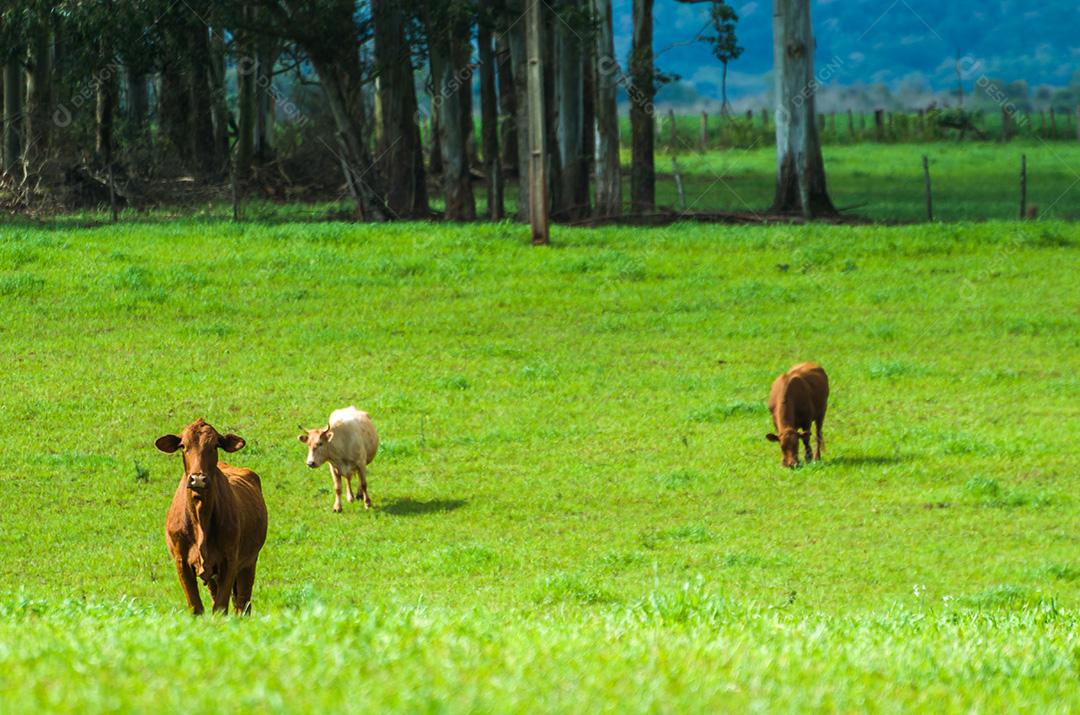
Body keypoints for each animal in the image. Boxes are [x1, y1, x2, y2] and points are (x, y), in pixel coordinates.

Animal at [155, 421, 266, 617]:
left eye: (215, 445)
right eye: (183, 446)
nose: (198, 478)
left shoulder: (229, 562)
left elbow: (220, 608)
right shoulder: (181, 562)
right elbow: (196, 607)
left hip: (249, 563)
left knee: (243, 603)